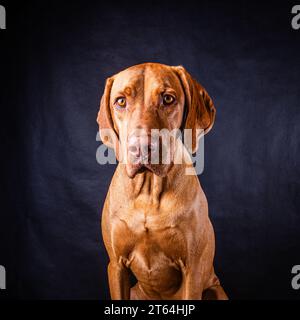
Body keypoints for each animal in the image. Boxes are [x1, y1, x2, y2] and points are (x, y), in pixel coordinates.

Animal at [97, 62, 226, 300]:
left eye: (167, 98)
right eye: (121, 101)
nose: (141, 147)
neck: (148, 192)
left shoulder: (193, 271)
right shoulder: (116, 266)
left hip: (215, 289)